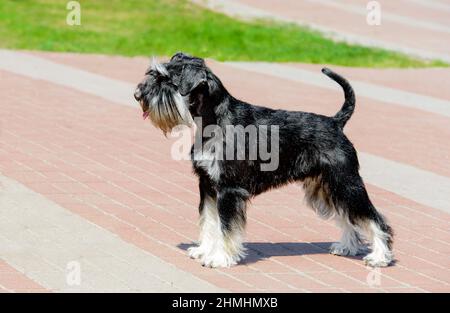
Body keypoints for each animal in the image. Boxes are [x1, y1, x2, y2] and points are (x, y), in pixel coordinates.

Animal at [134, 52, 394, 266]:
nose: (137, 95)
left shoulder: (228, 190)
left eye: (167, 80)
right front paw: (203, 250)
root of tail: (336, 122)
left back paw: (380, 257)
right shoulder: (207, 185)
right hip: (326, 187)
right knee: (347, 216)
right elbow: (208, 221)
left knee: (374, 218)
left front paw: (219, 258)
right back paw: (347, 247)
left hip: (346, 182)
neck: (213, 121)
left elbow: (225, 226)